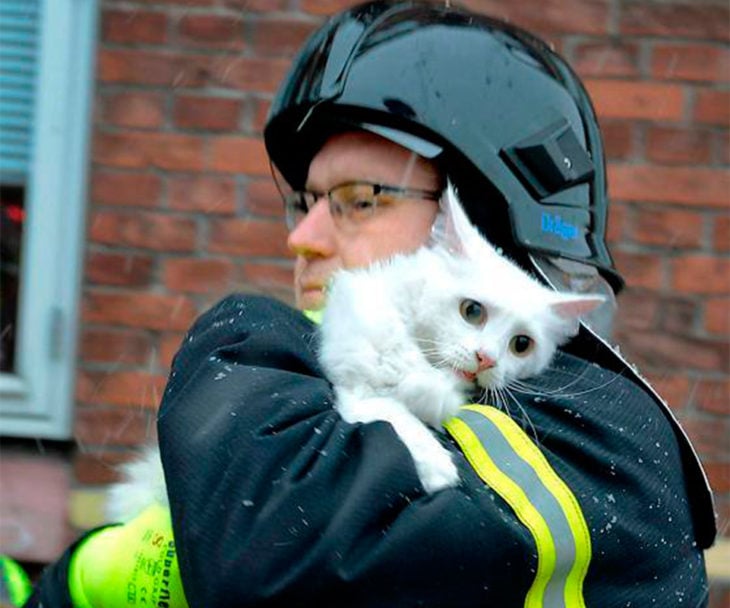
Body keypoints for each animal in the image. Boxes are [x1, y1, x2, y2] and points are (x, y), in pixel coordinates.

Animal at [105, 183, 600, 520]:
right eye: (472, 311)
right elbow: (395, 415)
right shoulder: (356, 388)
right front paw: (436, 466)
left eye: (521, 345)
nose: (488, 361)